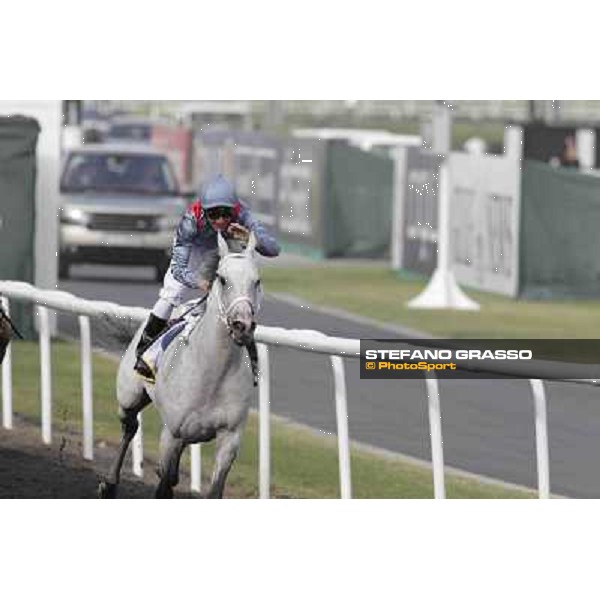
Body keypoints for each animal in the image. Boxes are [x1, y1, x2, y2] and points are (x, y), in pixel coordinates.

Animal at [99, 232, 262, 500]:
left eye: (257, 281)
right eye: (222, 279)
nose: (243, 325)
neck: (212, 374)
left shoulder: (229, 437)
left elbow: (214, 491)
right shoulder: (172, 434)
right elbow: (164, 488)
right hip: (129, 397)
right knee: (130, 427)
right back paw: (110, 484)